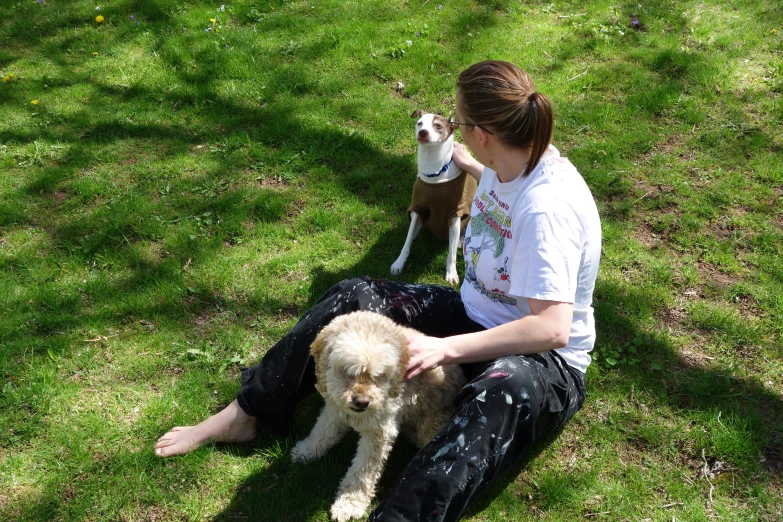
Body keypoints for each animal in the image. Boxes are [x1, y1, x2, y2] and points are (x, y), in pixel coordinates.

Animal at [292, 310, 466, 516]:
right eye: (346, 370)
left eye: (380, 375)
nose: (362, 402)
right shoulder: (334, 409)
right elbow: (322, 431)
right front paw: (307, 451)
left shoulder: (379, 433)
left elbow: (364, 470)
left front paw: (350, 502)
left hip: (430, 426)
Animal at [392, 109, 478, 284]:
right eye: (419, 123)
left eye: (438, 126)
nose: (423, 132)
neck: (433, 171)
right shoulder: (417, 208)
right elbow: (406, 243)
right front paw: (399, 262)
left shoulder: (455, 213)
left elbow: (451, 253)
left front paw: (451, 273)